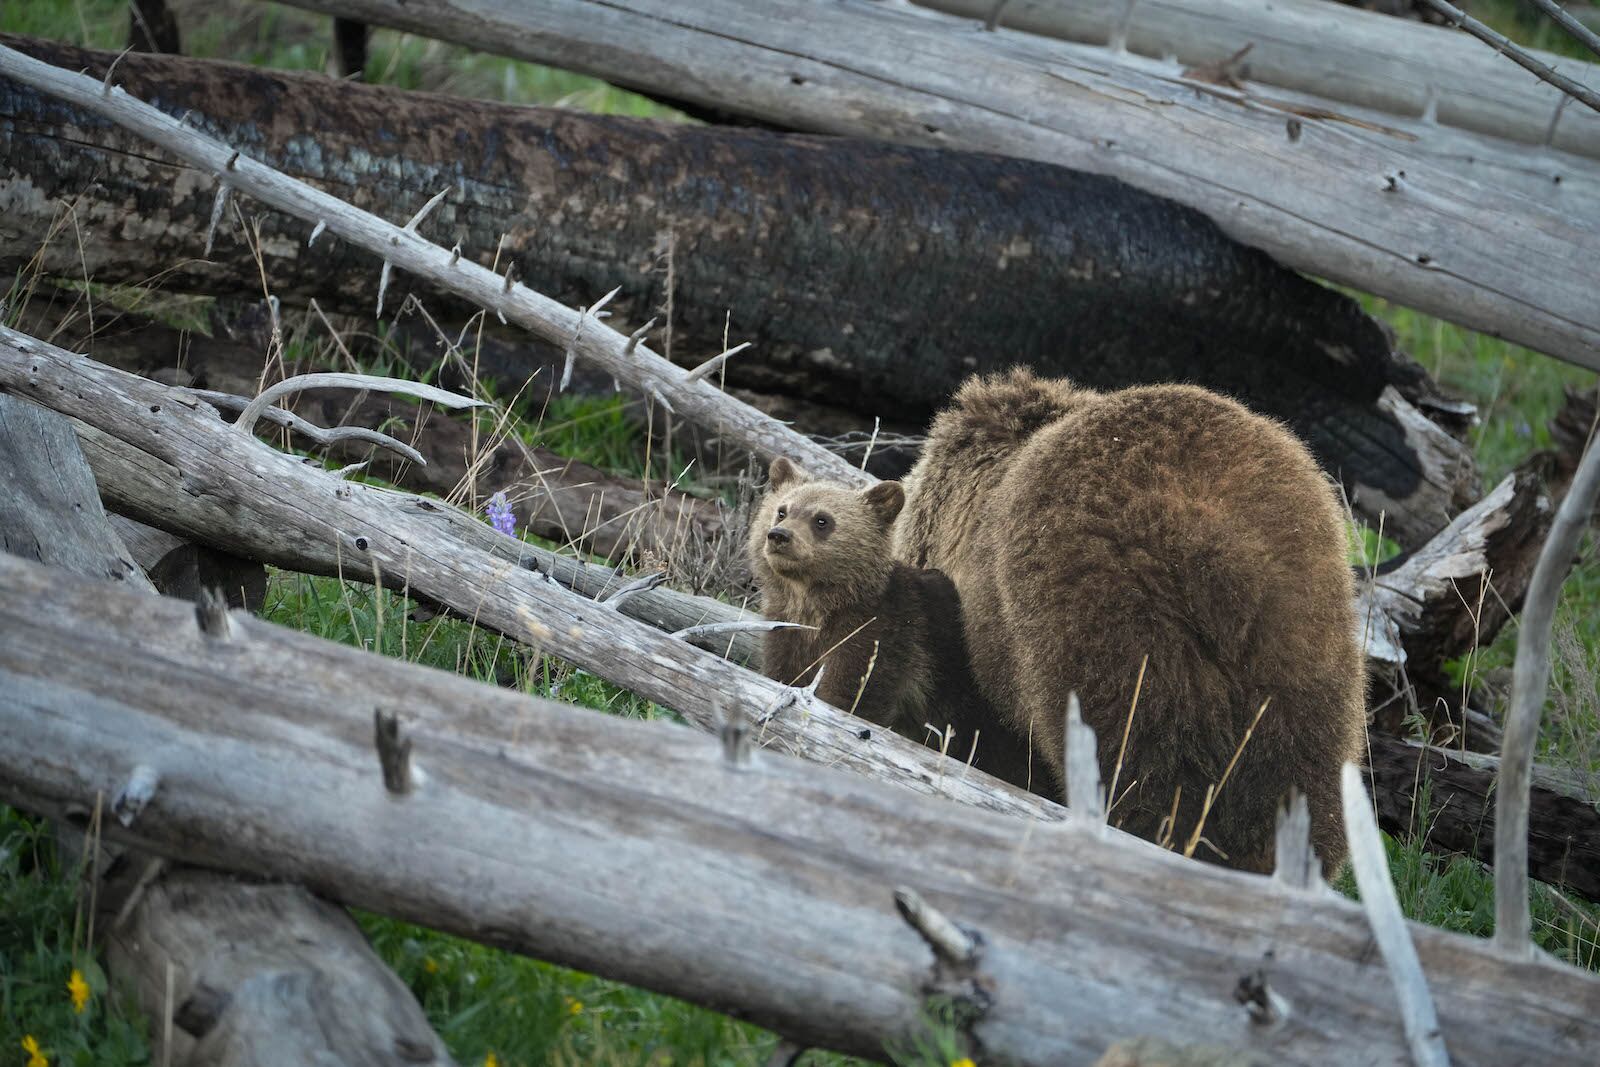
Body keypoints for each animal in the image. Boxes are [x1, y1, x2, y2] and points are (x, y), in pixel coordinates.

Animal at [748, 454, 1049, 790]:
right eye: (782, 510)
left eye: (822, 520)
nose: (779, 536)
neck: (817, 605)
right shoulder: (786, 631)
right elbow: (784, 674)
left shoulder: (882, 634)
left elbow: (853, 693)